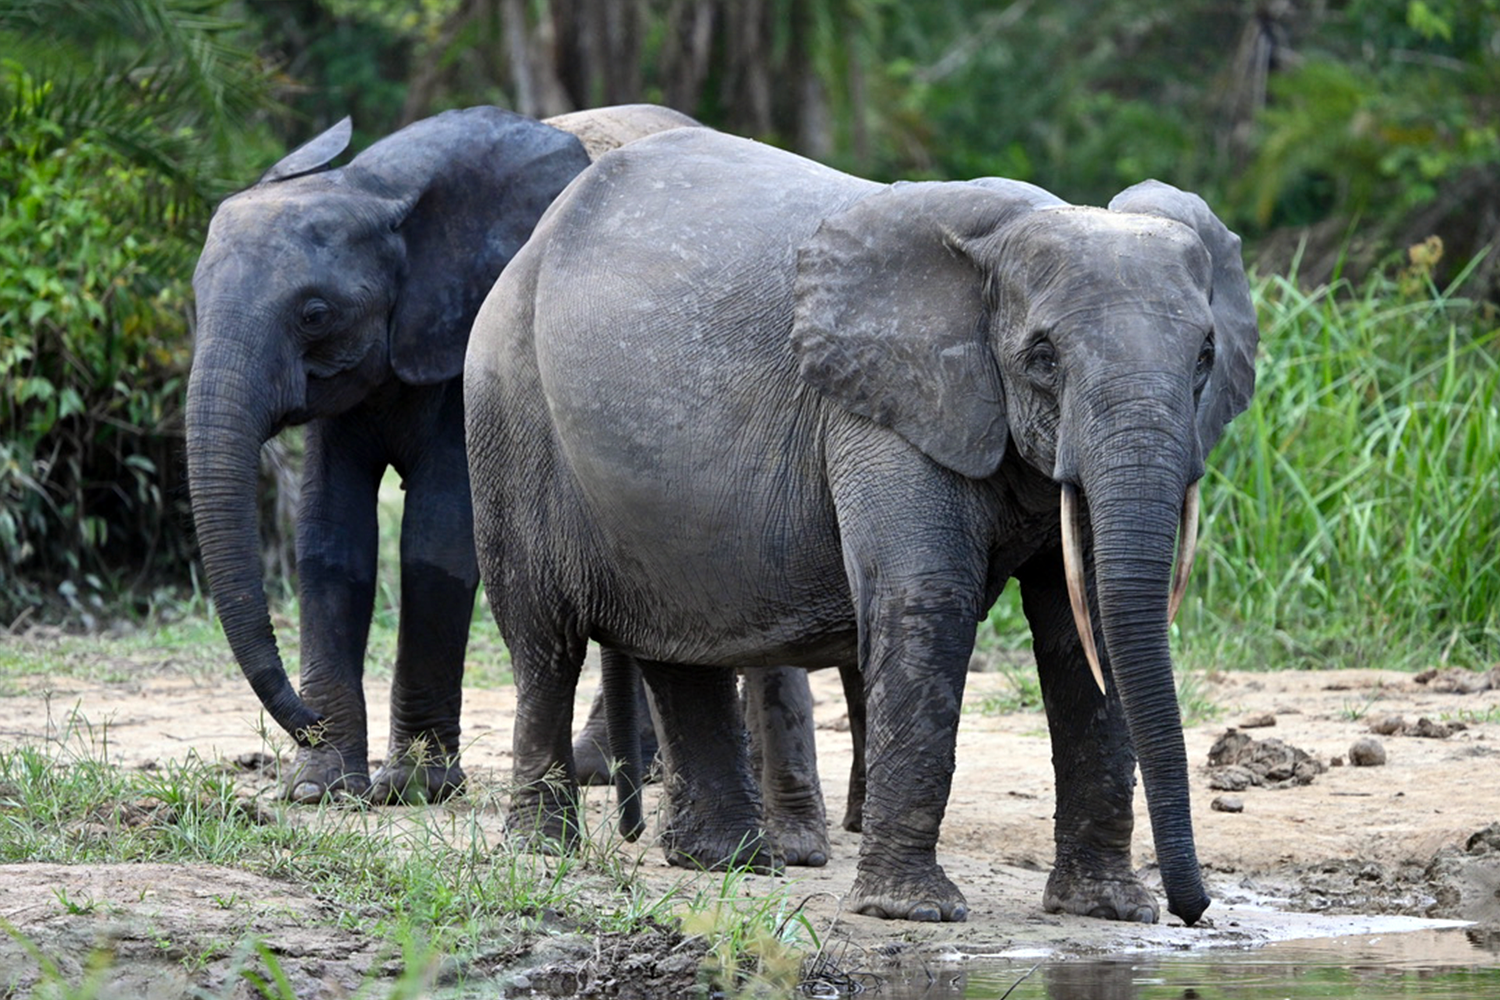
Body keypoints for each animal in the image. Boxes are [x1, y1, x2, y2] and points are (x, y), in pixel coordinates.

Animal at [185, 104, 694, 804]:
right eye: (195, 300)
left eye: (315, 313)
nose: (304, 723)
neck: (373, 190)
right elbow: (329, 540)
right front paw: (319, 789)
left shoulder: (472, 340)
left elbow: (436, 539)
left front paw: (412, 789)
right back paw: (608, 766)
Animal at [464, 127, 1258, 924]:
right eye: (1042, 358)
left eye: (1205, 357)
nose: (1194, 910)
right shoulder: (878, 408)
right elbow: (928, 600)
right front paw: (912, 911)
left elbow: (1082, 620)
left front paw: (1108, 909)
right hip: (506, 408)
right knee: (543, 641)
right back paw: (547, 848)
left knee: (680, 642)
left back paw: (730, 861)